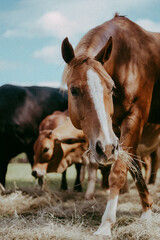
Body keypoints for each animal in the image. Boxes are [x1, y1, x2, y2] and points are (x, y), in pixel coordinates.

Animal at [61, 14, 160, 237]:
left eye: (111, 87)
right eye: (74, 90)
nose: (104, 148)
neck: (128, 60)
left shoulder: (135, 118)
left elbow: (119, 172)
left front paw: (106, 225)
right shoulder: (114, 130)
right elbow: (134, 167)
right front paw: (147, 210)